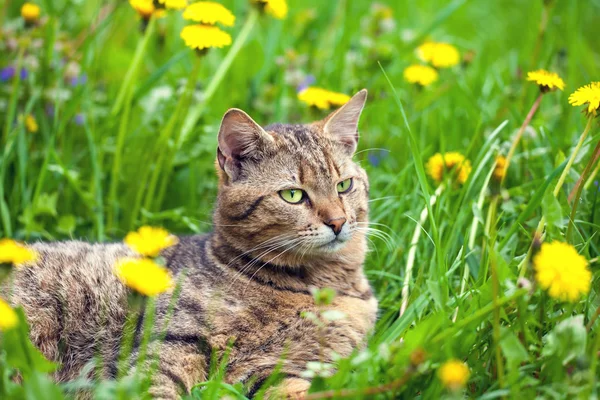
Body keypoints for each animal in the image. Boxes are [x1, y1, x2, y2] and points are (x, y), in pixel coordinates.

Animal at [7, 89, 378, 398]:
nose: (338, 222)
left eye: (344, 185)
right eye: (292, 195)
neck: (317, 285)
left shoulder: (278, 368)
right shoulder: (172, 341)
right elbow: (154, 387)